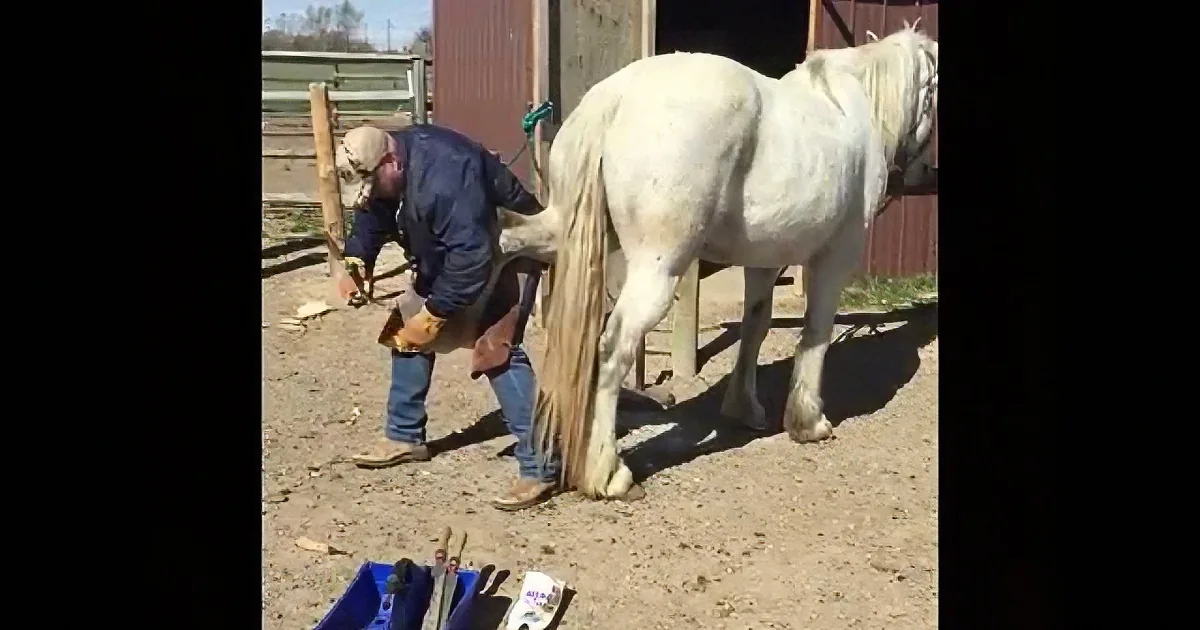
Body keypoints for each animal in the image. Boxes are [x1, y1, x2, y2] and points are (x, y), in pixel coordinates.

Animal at [515, 24, 938, 500]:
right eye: (933, 91)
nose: (923, 173)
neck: (852, 106)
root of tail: (615, 97)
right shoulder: (834, 259)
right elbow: (816, 333)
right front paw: (808, 421)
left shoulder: (765, 261)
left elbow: (755, 327)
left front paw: (743, 408)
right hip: (657, 270)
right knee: (613, 348)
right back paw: (609, 474)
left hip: (562, 235)